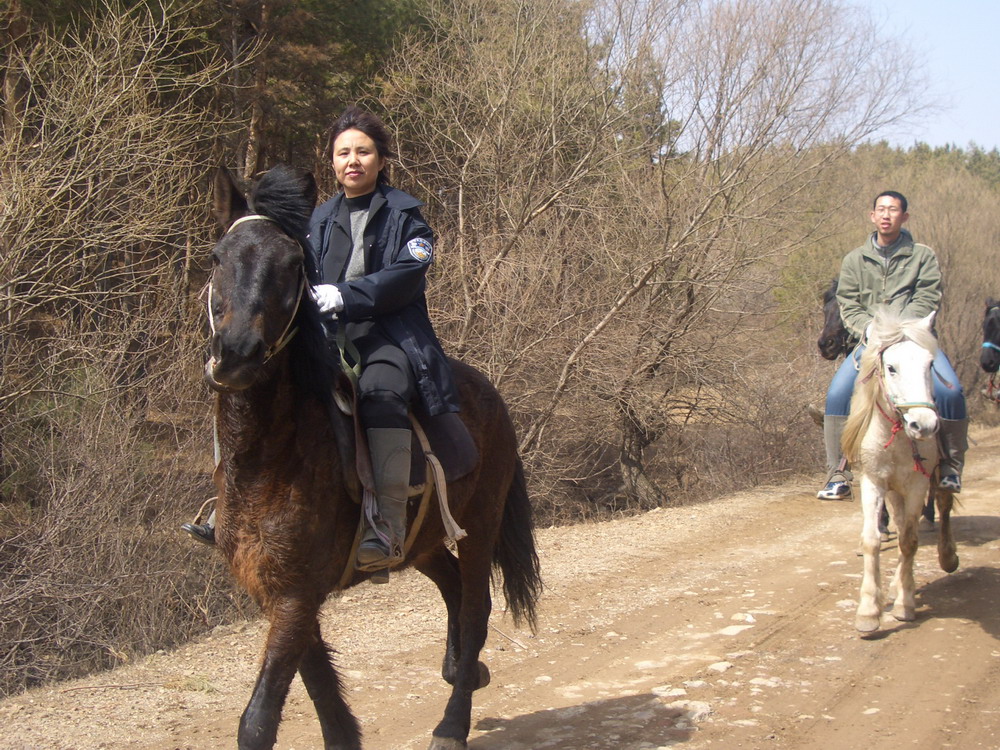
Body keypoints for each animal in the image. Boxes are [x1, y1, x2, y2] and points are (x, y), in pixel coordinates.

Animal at [204, 166, 544, 750]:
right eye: (219, 257)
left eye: (293, 266)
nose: (238, 355)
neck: (271, 458)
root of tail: (490, 394)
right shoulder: (280, 593)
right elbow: (323, 695)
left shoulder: (296, 595)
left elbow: (258, 721)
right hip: (422, 540)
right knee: (454, 591)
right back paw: (463, 669)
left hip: (479, 525)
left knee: (475, 610)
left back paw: (452, 722)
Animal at [844, 312, 960, 636]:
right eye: (891, 367)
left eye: (930, 365)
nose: (923, 424)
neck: (895, 436)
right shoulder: (873, 482)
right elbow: (872, 540)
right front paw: (868, 611)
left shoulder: (918, 484)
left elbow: (909, 540)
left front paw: (905, 605)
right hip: (893, 489)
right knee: (897, 517)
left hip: (935, 479)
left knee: (944, 507)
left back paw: (947, 558)